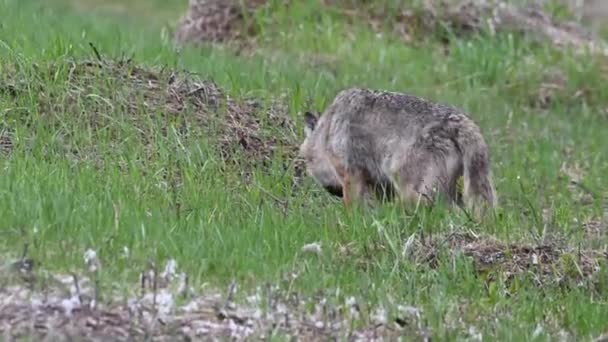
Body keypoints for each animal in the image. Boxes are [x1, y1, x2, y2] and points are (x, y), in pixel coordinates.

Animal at [296, 88, 496, 216]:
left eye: (308, 163)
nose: (333, 192)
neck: (328, 127)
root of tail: (460, 120)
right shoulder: (381, 187)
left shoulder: (350, 175)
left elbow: (351, 209)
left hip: (414, 193)